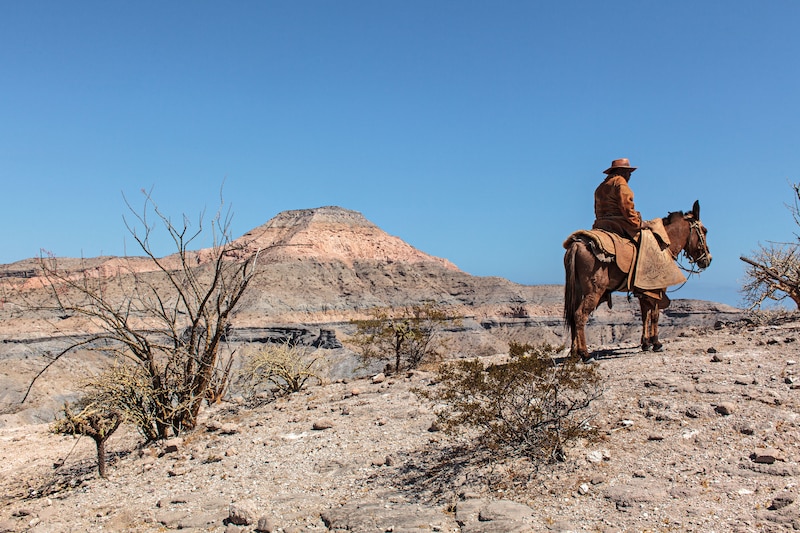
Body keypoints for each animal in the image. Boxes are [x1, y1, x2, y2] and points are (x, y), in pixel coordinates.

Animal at [564, 200, 712, 362]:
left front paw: (646, 343)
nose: (708, 259)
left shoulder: (644, 292)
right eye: (704, 230)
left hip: (577, 291)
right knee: (580, 315)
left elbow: (645, 315)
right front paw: (656, 343)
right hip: (594, 292)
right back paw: (585, 354)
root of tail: (577, 244)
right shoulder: (657, 289)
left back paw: (574, 353)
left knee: (572, 316)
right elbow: (655, 315)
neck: (663, 246)